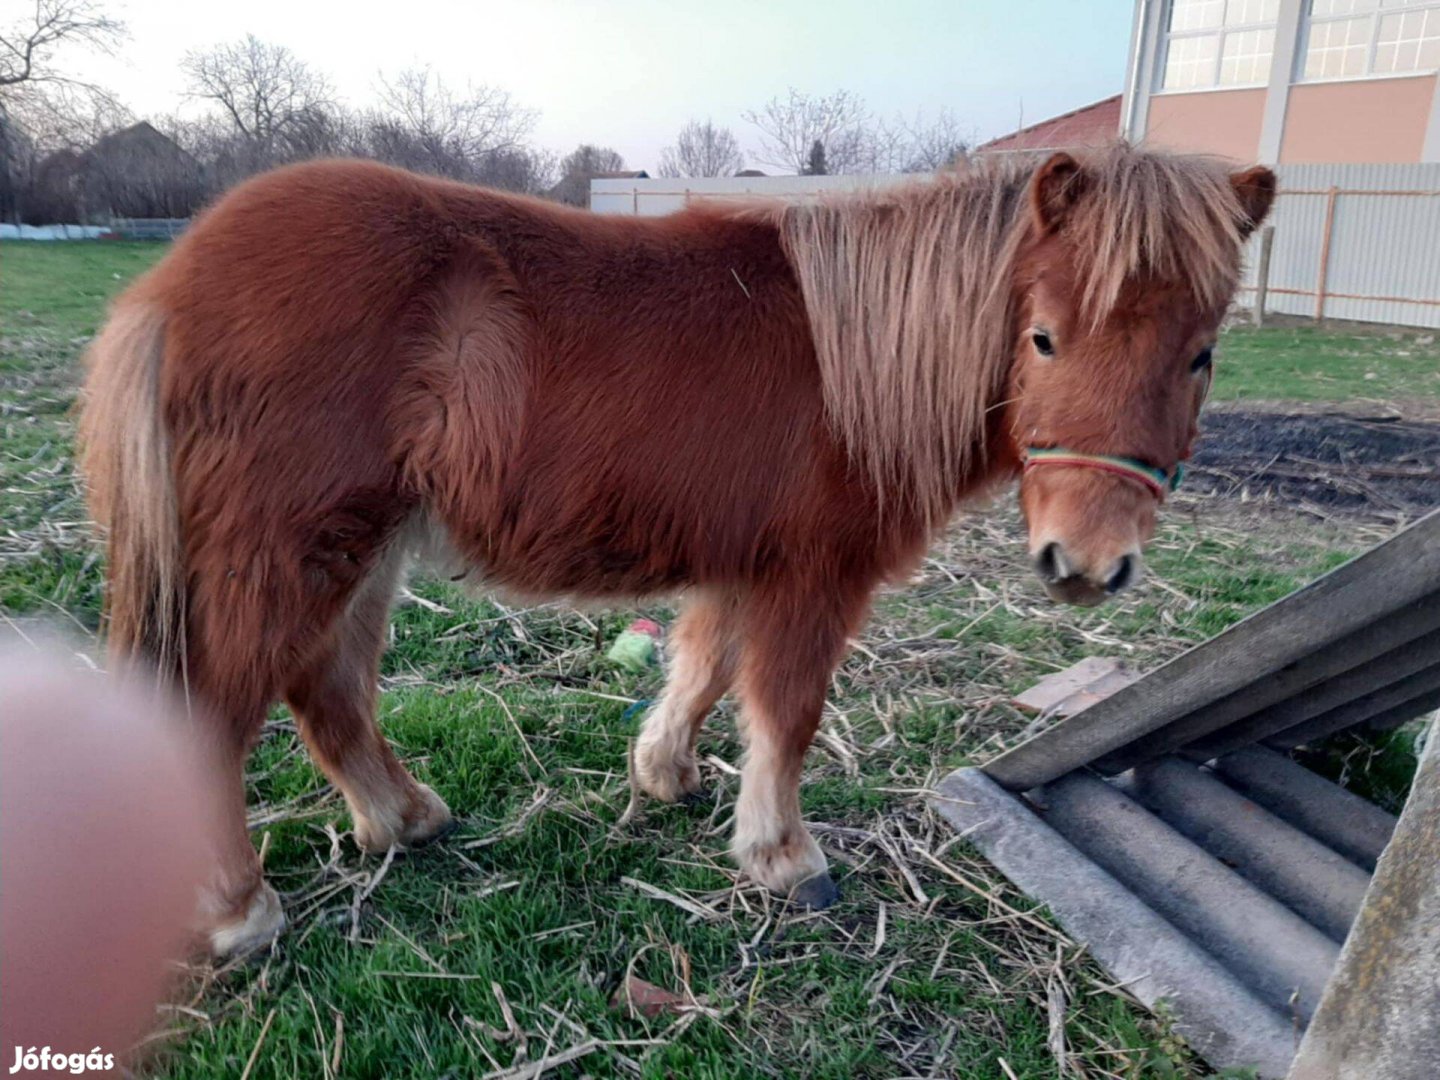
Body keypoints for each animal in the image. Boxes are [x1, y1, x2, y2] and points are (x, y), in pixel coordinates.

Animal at [78, 141, 1272, 956]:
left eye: (1204, 354)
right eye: (1043, 338)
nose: (1087, 564)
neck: (850, 360)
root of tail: (173, 283)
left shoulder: (743, 568)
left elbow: (702, 670)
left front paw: (666, 776)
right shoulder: (813, 577)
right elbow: (785, 712)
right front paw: (785, 860)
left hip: (361, 550)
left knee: (326, 688)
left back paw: (402, 822)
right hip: (291, 552)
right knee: (218, 710)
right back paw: (238, 912)